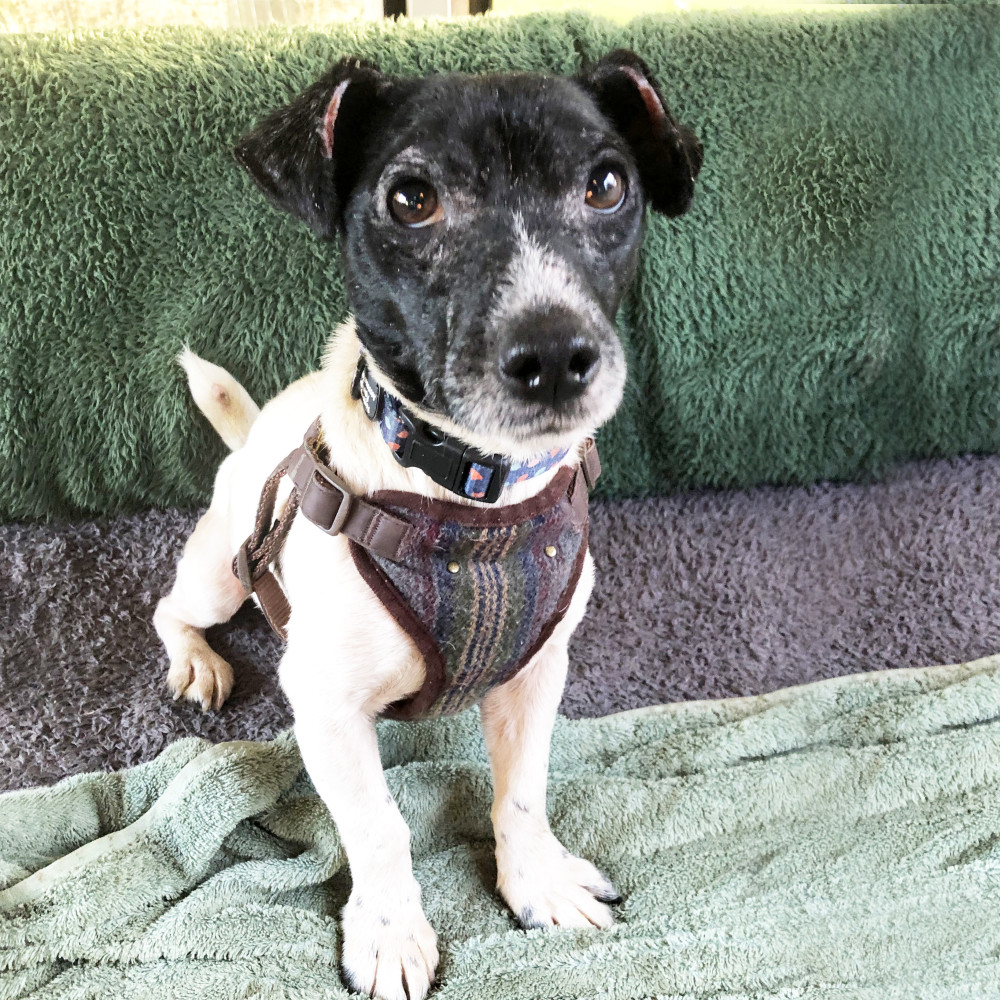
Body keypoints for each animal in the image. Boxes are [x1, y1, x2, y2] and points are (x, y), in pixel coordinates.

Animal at [155, 50, 701, 1000]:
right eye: (411, 198)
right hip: (222, 572)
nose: (554, 354)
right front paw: (388, 933)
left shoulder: (537, 671)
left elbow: (522, 790)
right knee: (171, 608)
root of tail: (255, 430)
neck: (473, 503)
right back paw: (195, 658)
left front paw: (536, 884)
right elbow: (378, 824)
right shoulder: (325, 706)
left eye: (606, 185)